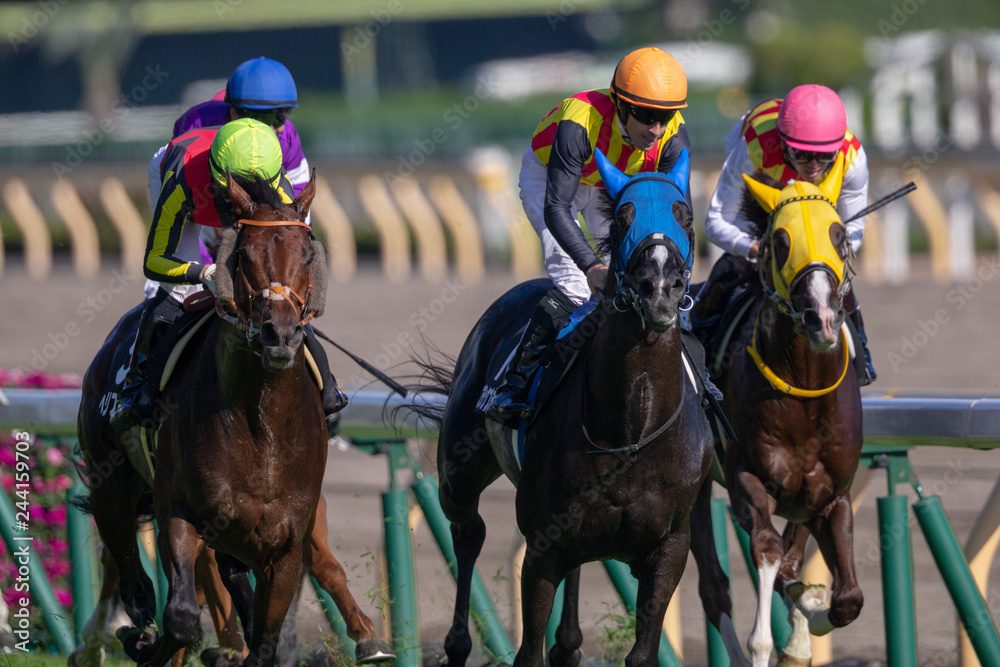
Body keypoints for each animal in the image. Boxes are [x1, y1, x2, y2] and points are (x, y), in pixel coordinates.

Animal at [76, 172, 381, 666]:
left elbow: (266, 638)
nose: (280, 334)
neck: (263, 428)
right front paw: (148, 642)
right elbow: (181, 618)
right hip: (111, 482)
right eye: (243, 256)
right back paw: (129, 625)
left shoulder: (284, 548)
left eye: (307, 252)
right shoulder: (180, 513)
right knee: (128, 565)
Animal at [412, 149, 714, 666]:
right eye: (623, 217)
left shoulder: (669, 548)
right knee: (468, 534)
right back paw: (457, 644)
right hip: (459, 472)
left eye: (685, 216)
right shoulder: (542, 545)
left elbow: (642, 650)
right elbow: (528, 651)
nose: (658, 287)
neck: (632, 429)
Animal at [693, 162, 865, 667]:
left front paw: (806, 619)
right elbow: (767, 551)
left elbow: (848, 599)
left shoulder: (832, 495)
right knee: (713, 587)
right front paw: (772, 641)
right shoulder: (747, 480)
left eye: (839, 236)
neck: (806, 395)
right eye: (781, 242)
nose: (821, 318)